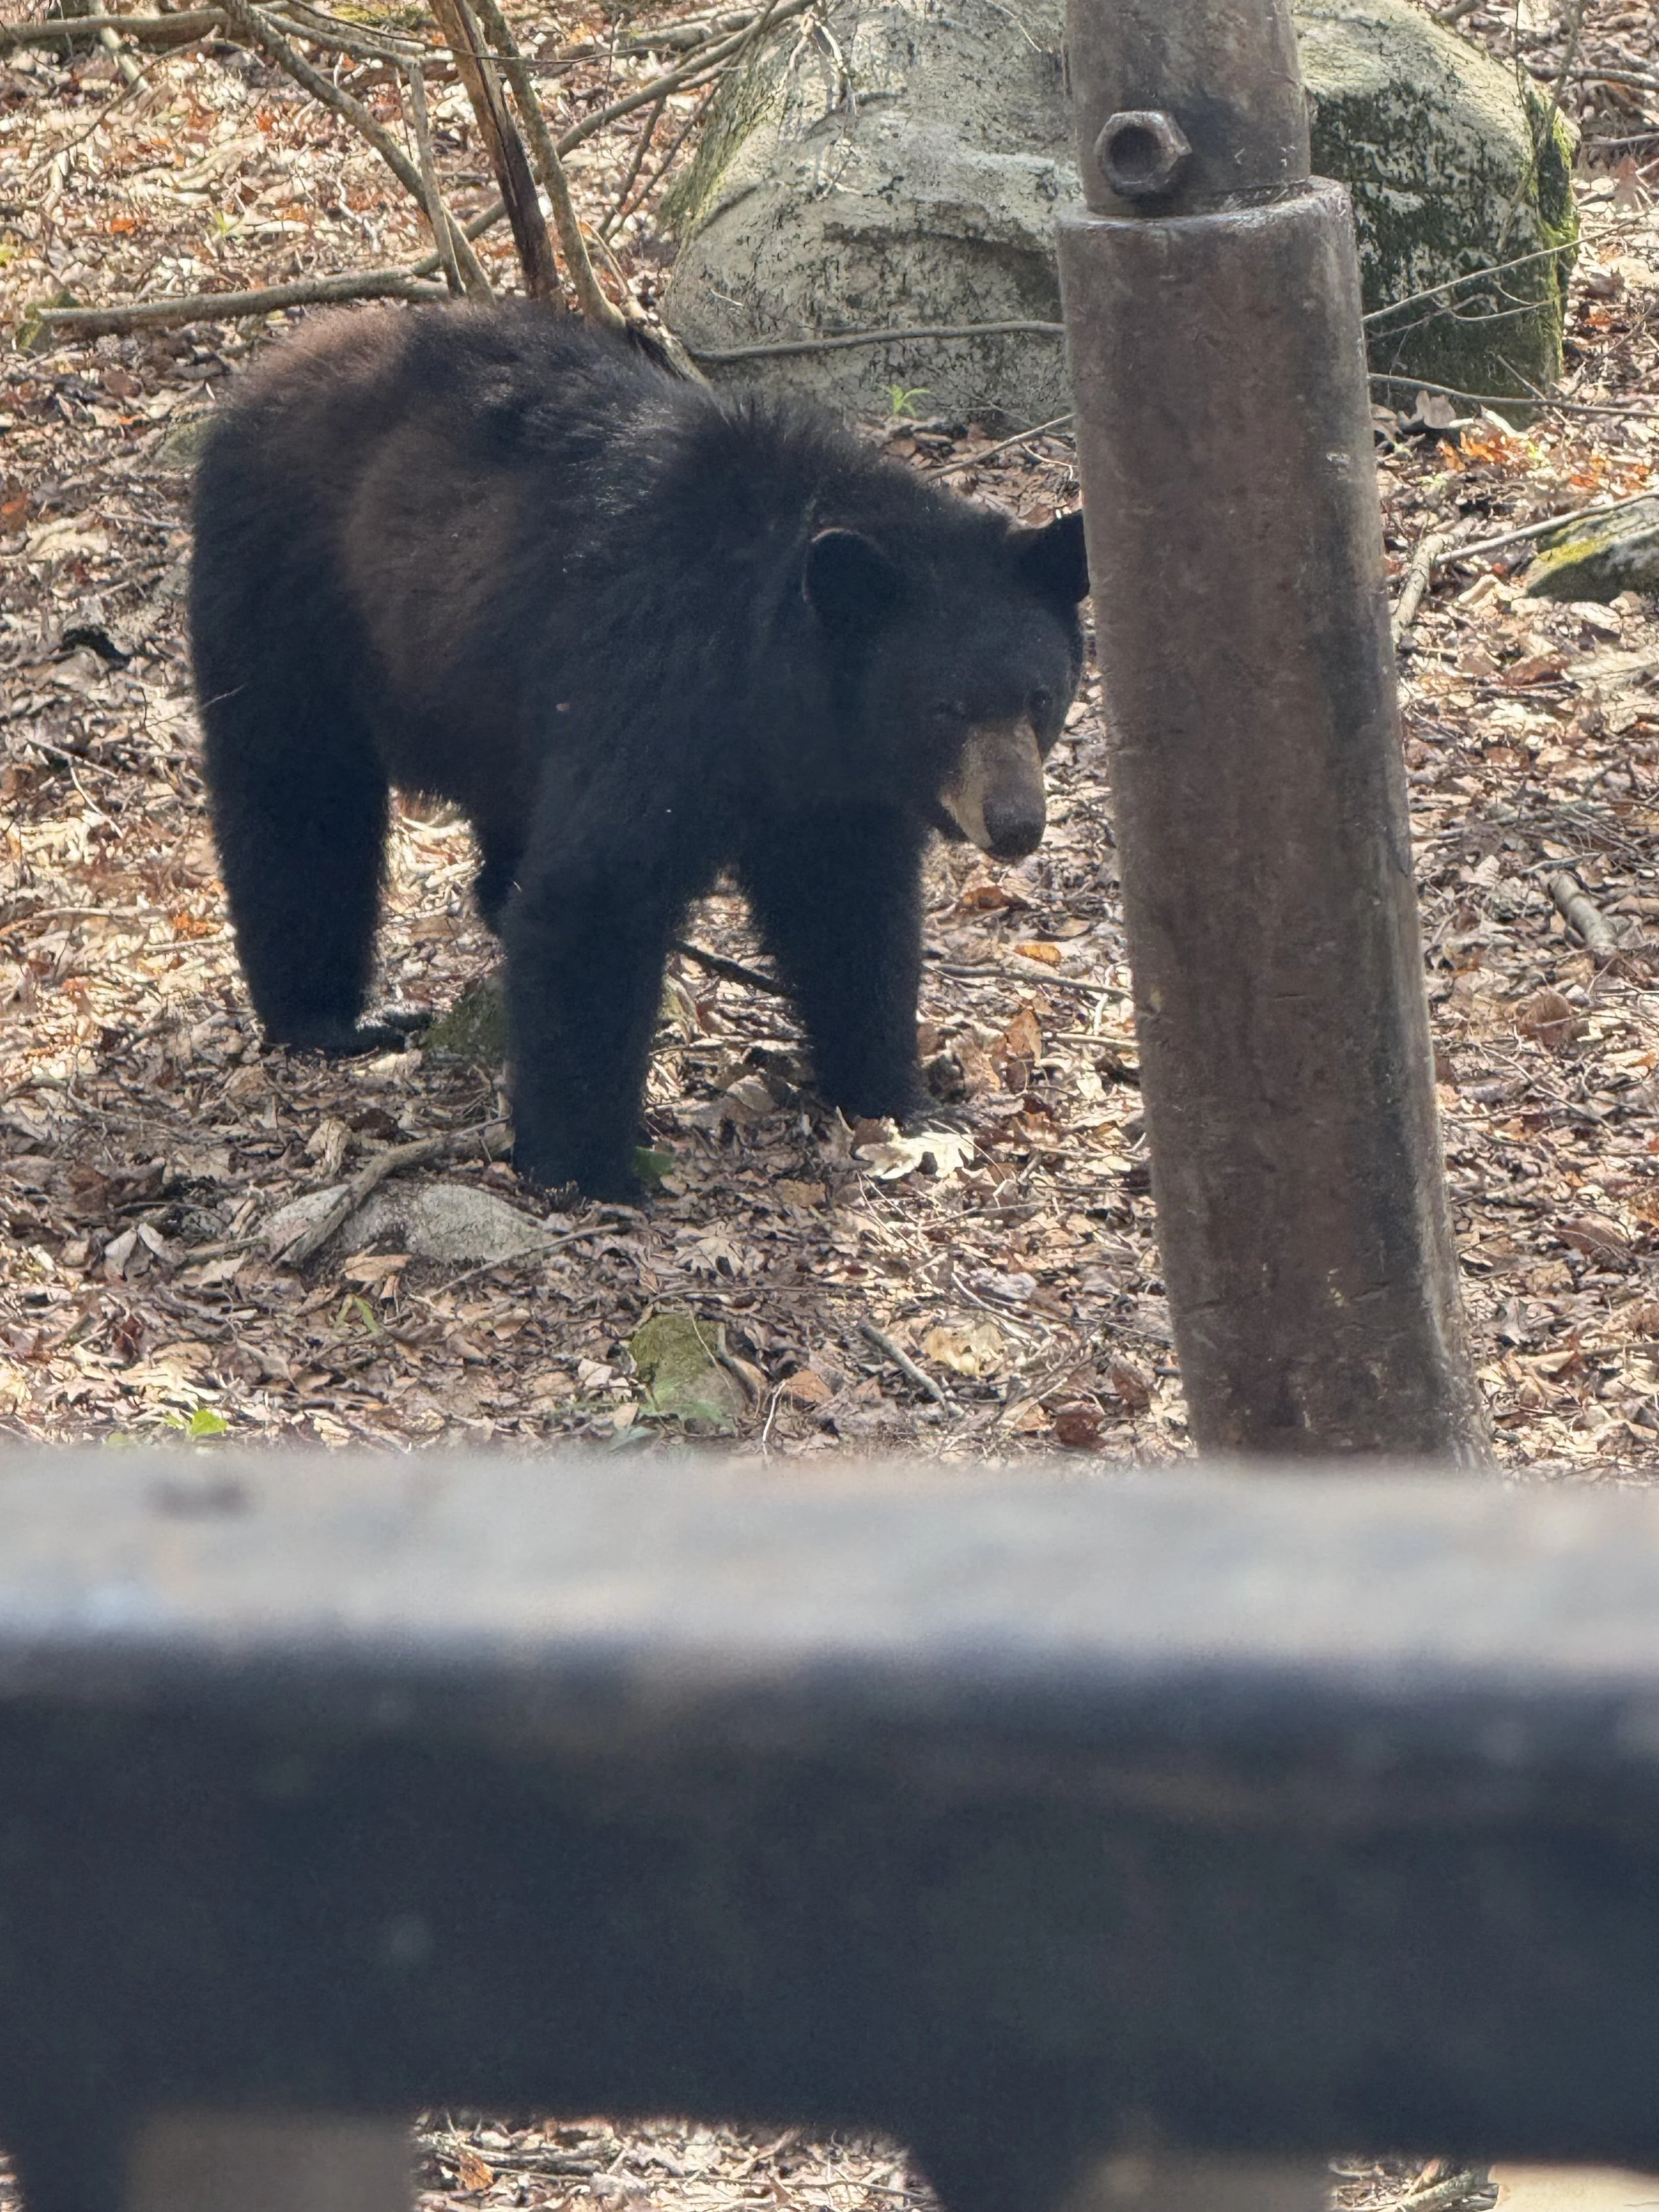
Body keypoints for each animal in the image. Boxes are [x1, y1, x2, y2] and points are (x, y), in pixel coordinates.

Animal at [189, 303, 1089, 1200]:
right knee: (298, 798)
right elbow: (595, 891)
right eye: (945, 707)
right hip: (286, 590)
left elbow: (849, 907)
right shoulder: (660, 681)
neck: (778, 671)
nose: (1016, 824)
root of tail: (278, 361)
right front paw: (589, 1165)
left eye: (1040, 697)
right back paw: (329, 1015)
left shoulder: (831, 778)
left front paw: (896, 1094)